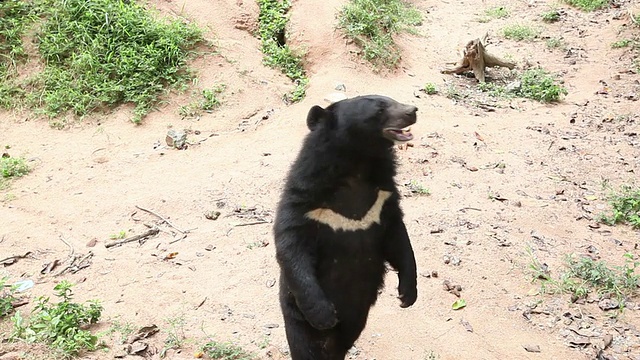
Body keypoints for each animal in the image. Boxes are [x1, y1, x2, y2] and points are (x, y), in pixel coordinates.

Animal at [272, 94, 418, 358]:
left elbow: (398, 239)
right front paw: (324, 314)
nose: (412, 111)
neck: (358, 164)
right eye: (380, 108)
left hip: (356, 319)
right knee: (304, 346)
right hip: (295, 314)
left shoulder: (383, 200)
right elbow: (292, 245)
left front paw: (407, 294)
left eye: (392, 99)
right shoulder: (305, 202)